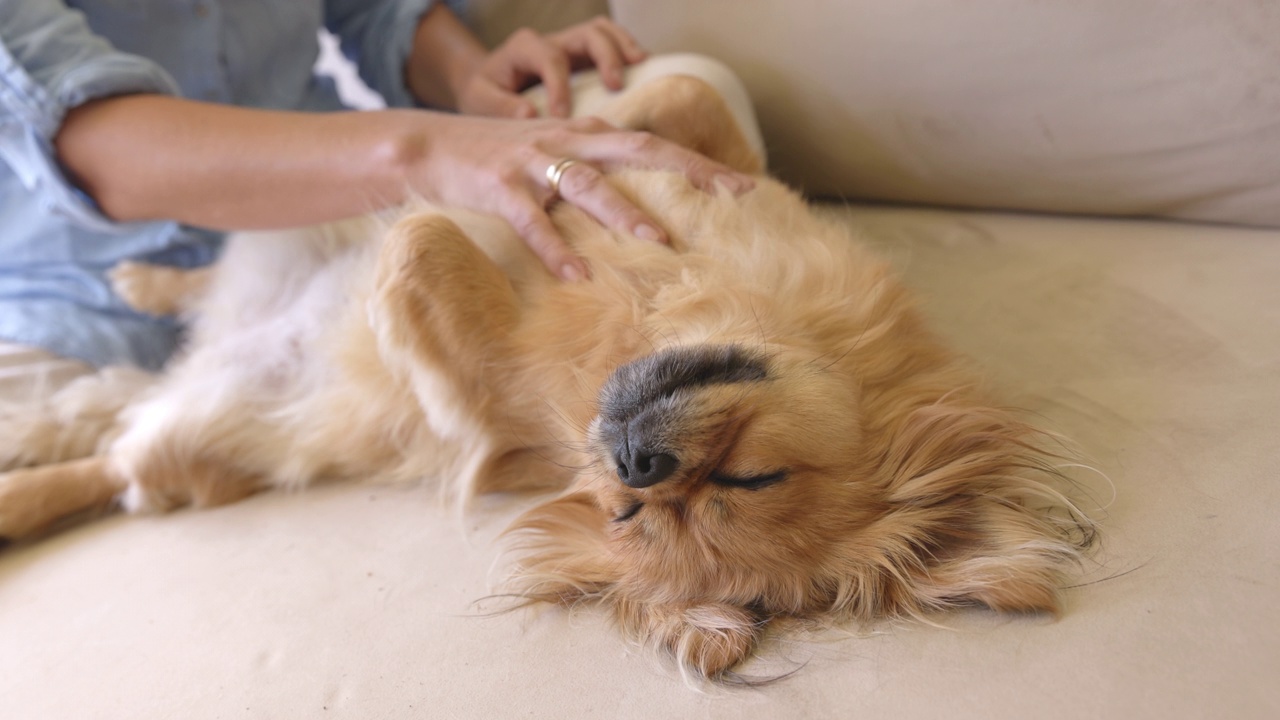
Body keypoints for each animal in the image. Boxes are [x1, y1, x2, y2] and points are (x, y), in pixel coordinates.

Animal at [2, 75, 1100, 681]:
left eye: (741, 483)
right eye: (626, 509)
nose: (631, 459)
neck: (685, 299)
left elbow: (421, 249)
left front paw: (443, 408)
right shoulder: (703, 168)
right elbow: (663, 116)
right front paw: (566, 139)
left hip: (184, 448)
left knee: (114, 465)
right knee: (156, 349)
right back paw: (149, 283)